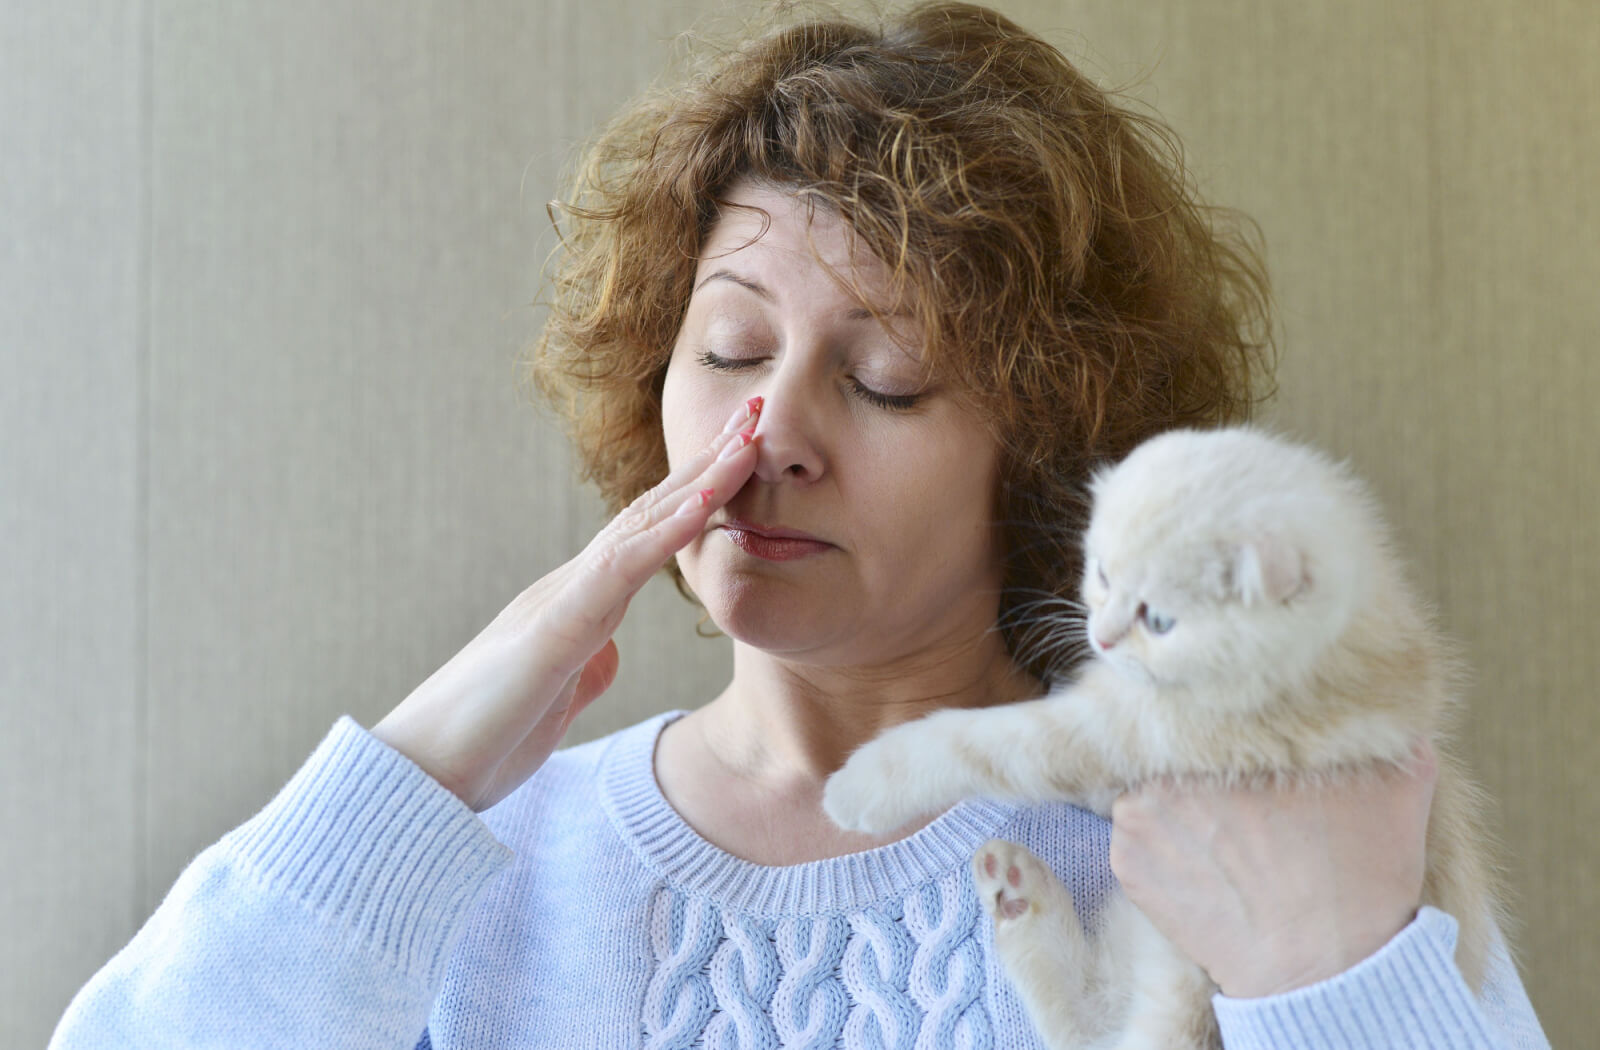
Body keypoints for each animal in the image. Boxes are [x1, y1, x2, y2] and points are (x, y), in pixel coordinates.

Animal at [819, 425, 1504, 1050]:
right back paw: (1018, 895)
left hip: (1188, 978)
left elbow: (990, 743)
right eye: (1101, 574)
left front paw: (863, 784)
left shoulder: (1147, 737)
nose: (1101, 637)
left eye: (1161, 621)